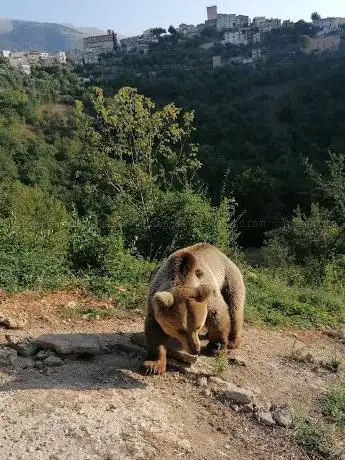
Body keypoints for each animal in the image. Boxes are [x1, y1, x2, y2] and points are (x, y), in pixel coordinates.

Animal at [142, 243, 245, 376]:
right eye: (180, 330)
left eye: (197, 327)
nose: (196, 349)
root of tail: (222, 253)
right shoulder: (154, 300)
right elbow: (155, 332)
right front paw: (153, 366)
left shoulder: (207, 294)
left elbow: (218, 314)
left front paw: (215, 347)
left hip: (229, 279)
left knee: (235, 308)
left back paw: (232, 341)